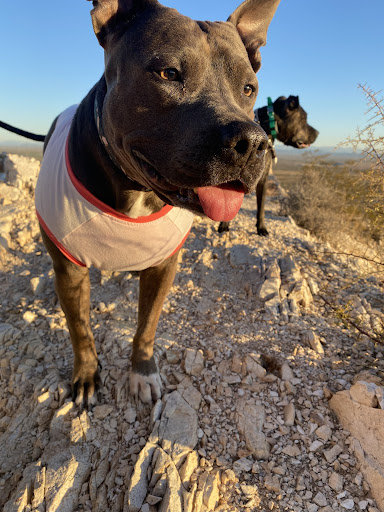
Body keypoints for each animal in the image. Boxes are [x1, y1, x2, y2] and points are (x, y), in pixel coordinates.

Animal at [0, 1, 280, 408]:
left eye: (249, 88)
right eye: (169, 73)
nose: (253, 143)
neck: (134, 189)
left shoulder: (164, 267)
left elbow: (146, 326)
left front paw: (143, 372)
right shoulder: (70, 271)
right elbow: (80, 329)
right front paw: (87, 375)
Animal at [218, 95, 320, 235]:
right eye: (303, 119)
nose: (317, 133)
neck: (267, 124)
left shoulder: (263, 179)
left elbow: (261, 207)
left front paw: (261, 228)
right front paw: (224, 224)